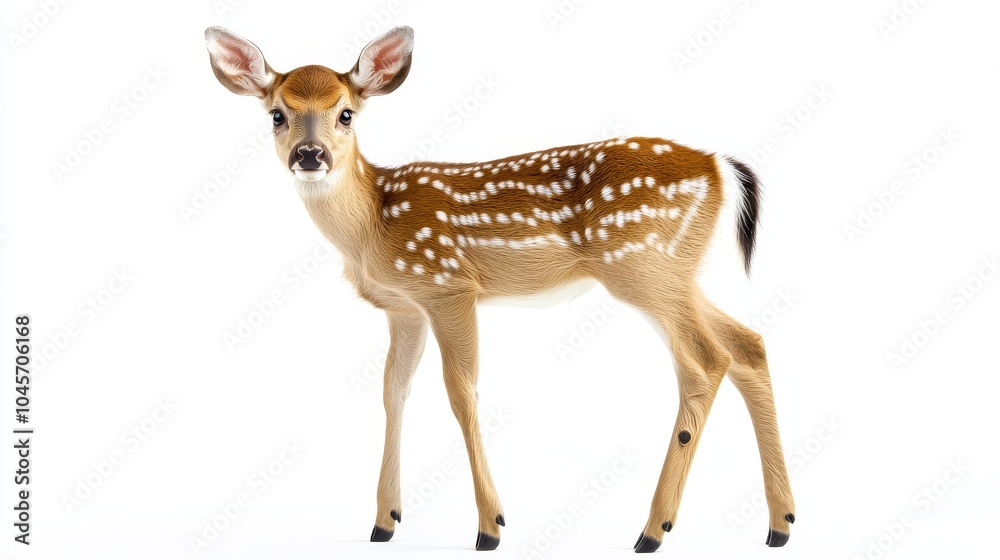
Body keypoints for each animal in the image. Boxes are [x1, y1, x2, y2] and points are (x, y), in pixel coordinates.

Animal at [205, 25, 796, 553]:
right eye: (277, 114)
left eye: (346, 113)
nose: (310, 155)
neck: (373, 224)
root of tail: (719, 167)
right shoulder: (405, 308)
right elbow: (394, 391)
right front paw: (385, 521)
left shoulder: (448, 286)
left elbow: (460, 392)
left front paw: (490, 527)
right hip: (676, 272)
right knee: (748, 344)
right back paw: (780, 523)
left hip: (641, 265)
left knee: (705, 361)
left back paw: (653, 530)